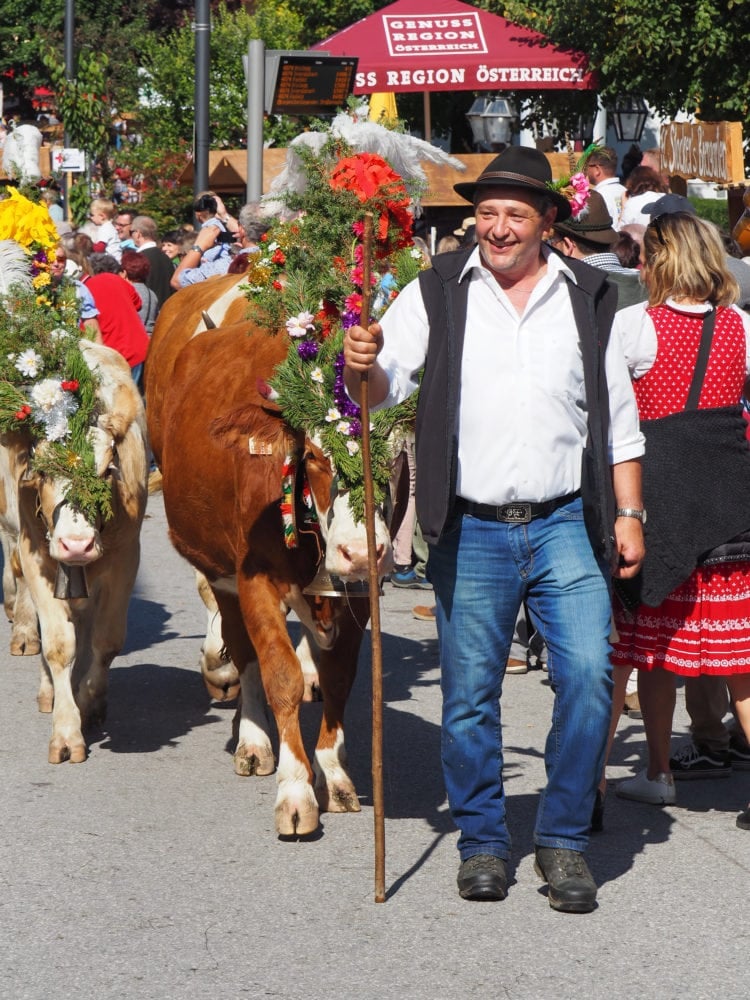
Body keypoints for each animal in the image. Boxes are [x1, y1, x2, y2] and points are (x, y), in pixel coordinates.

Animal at [0, 340, 149, 760]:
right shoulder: (38, 558)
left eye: (107, 470)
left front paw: (89, 702)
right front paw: (66, 732)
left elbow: (106, 640)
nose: (77, 544)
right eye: (43, 471)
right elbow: (58, 645)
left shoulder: (126, 559)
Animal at [159, 322, 394, 836]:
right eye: (315, 456)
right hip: (220, 572)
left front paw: (333, 773)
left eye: (398, 452)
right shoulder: (255, 580)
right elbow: (280, 674)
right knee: (244, 652)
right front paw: (296, 791)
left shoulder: (358, 596)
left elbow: (339, 676)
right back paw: (252, 739)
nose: (360, 552)